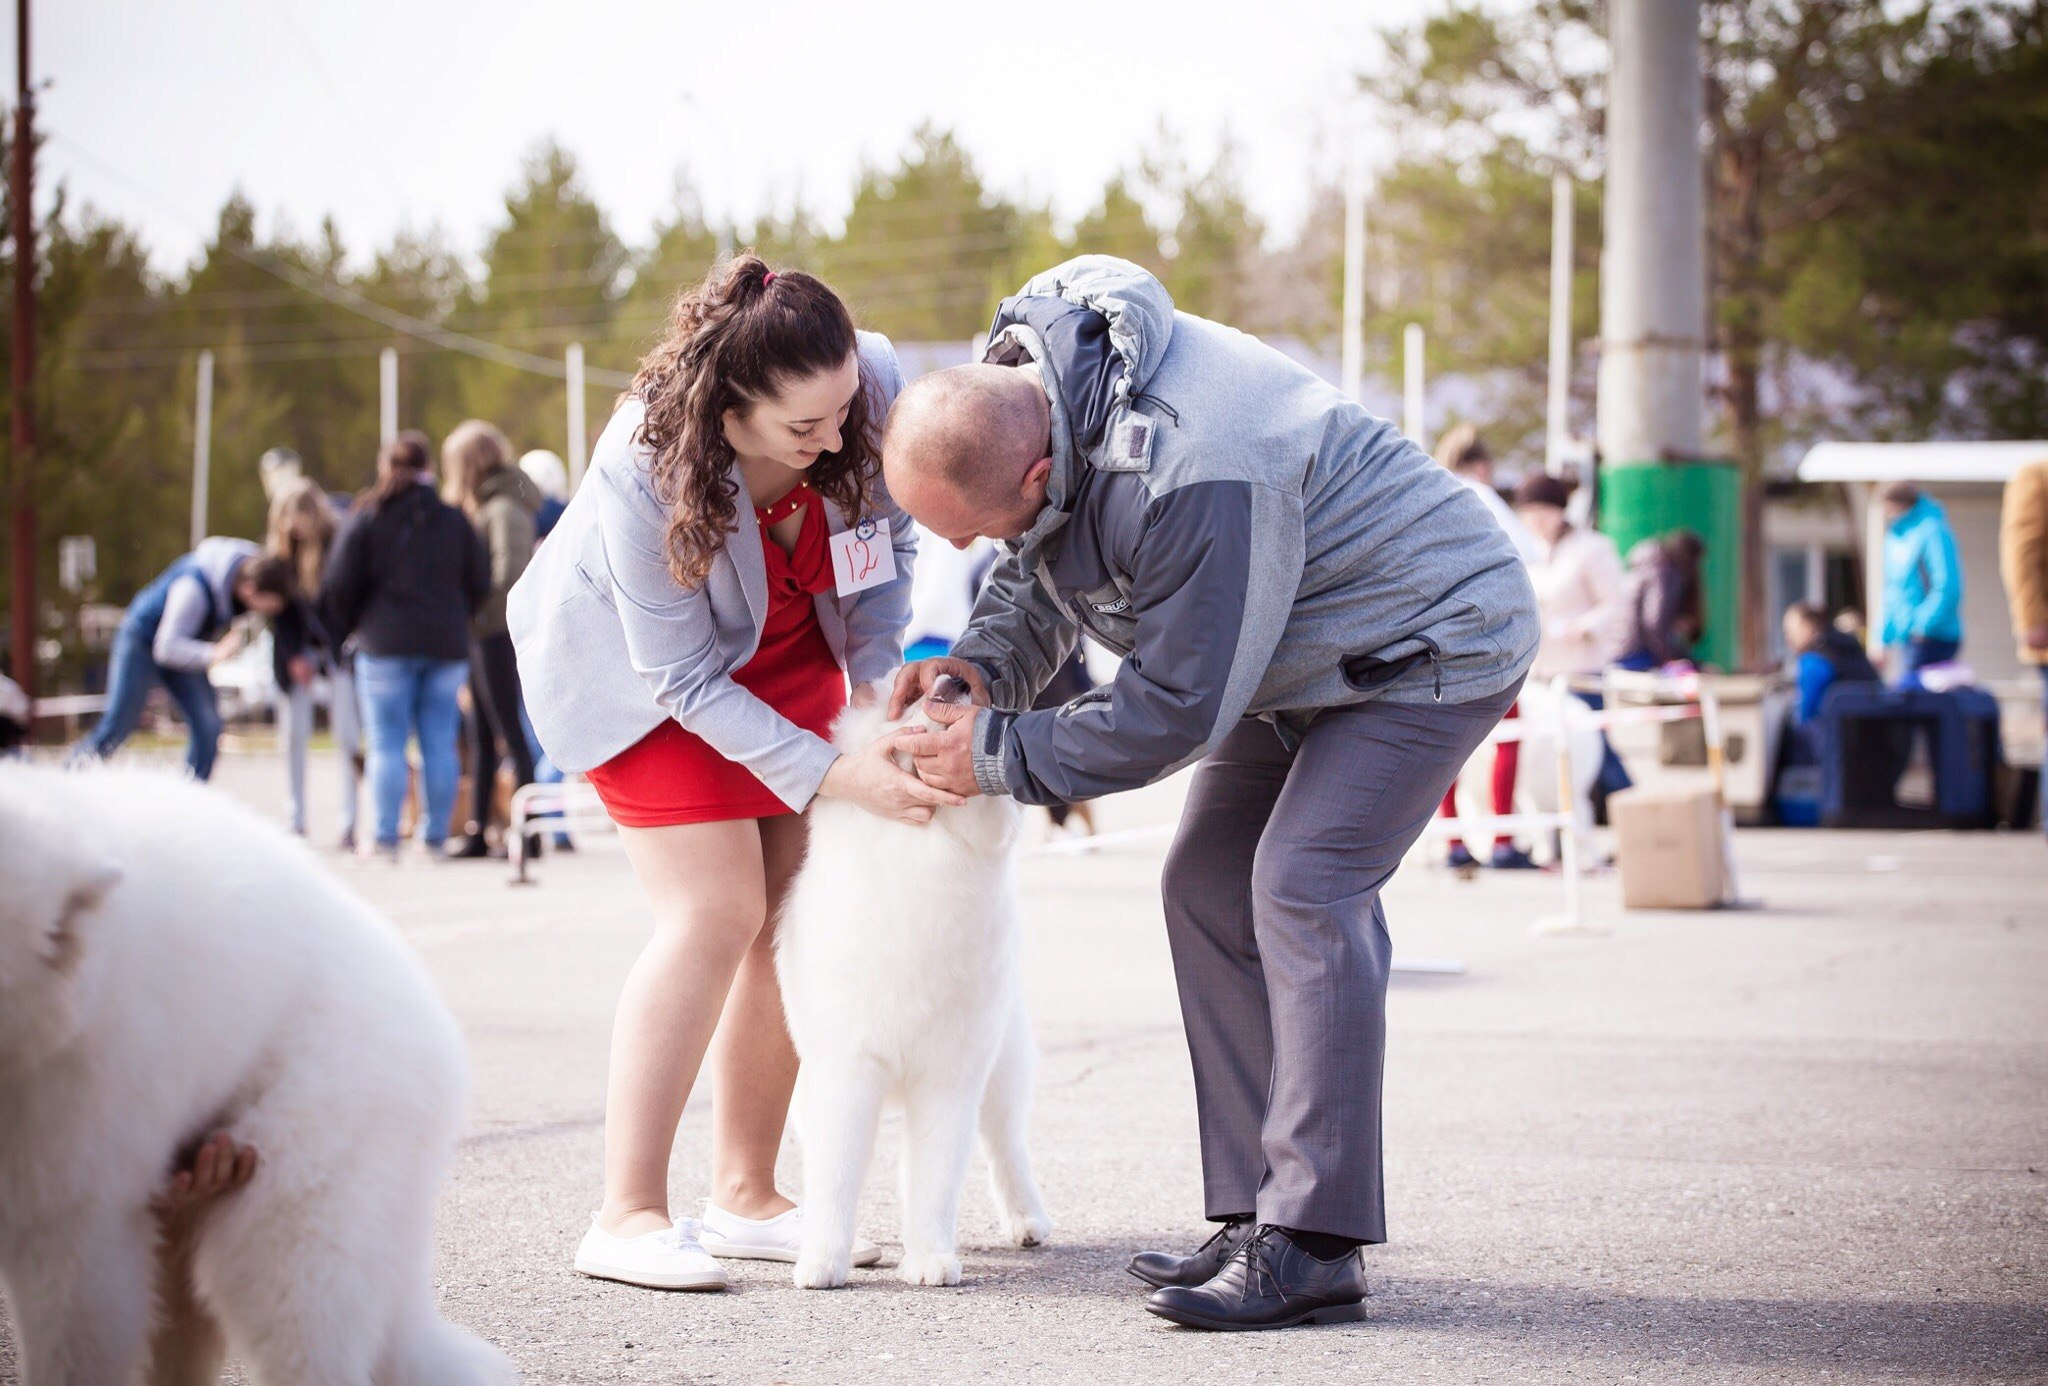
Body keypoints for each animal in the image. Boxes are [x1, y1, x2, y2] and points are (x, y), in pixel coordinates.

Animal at [770, 679, 1048, 1285]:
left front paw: (931, 1260)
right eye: (908, 703)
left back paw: (1028, 1222)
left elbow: (936, 1179)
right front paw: (823, 1262)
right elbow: (836, 1177)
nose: (953, 681)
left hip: (1001, 1072)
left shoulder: (950, 1076)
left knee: (1007, 1148)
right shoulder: (847, 1070)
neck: (925, 848)